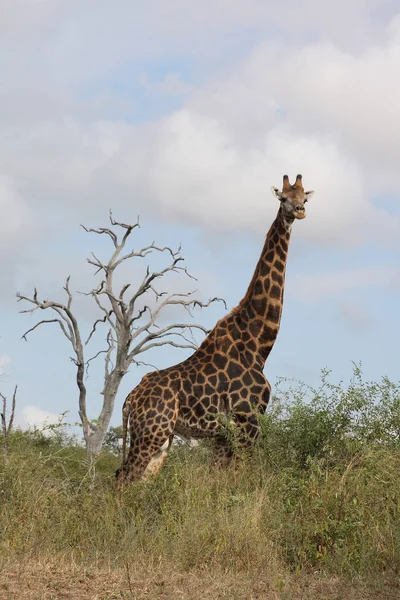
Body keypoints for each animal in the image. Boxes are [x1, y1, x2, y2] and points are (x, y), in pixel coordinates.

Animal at [115, 176, 316, 486]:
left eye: (304, 198)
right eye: (283, 198)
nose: (299, 211)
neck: (258, 345)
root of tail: (129, 399)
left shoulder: (224, 435)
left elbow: (219, 482)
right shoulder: (248, 423)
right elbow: (239, 480)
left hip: (159, 439)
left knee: (137, 481)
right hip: (152, 431)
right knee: (121, 478)